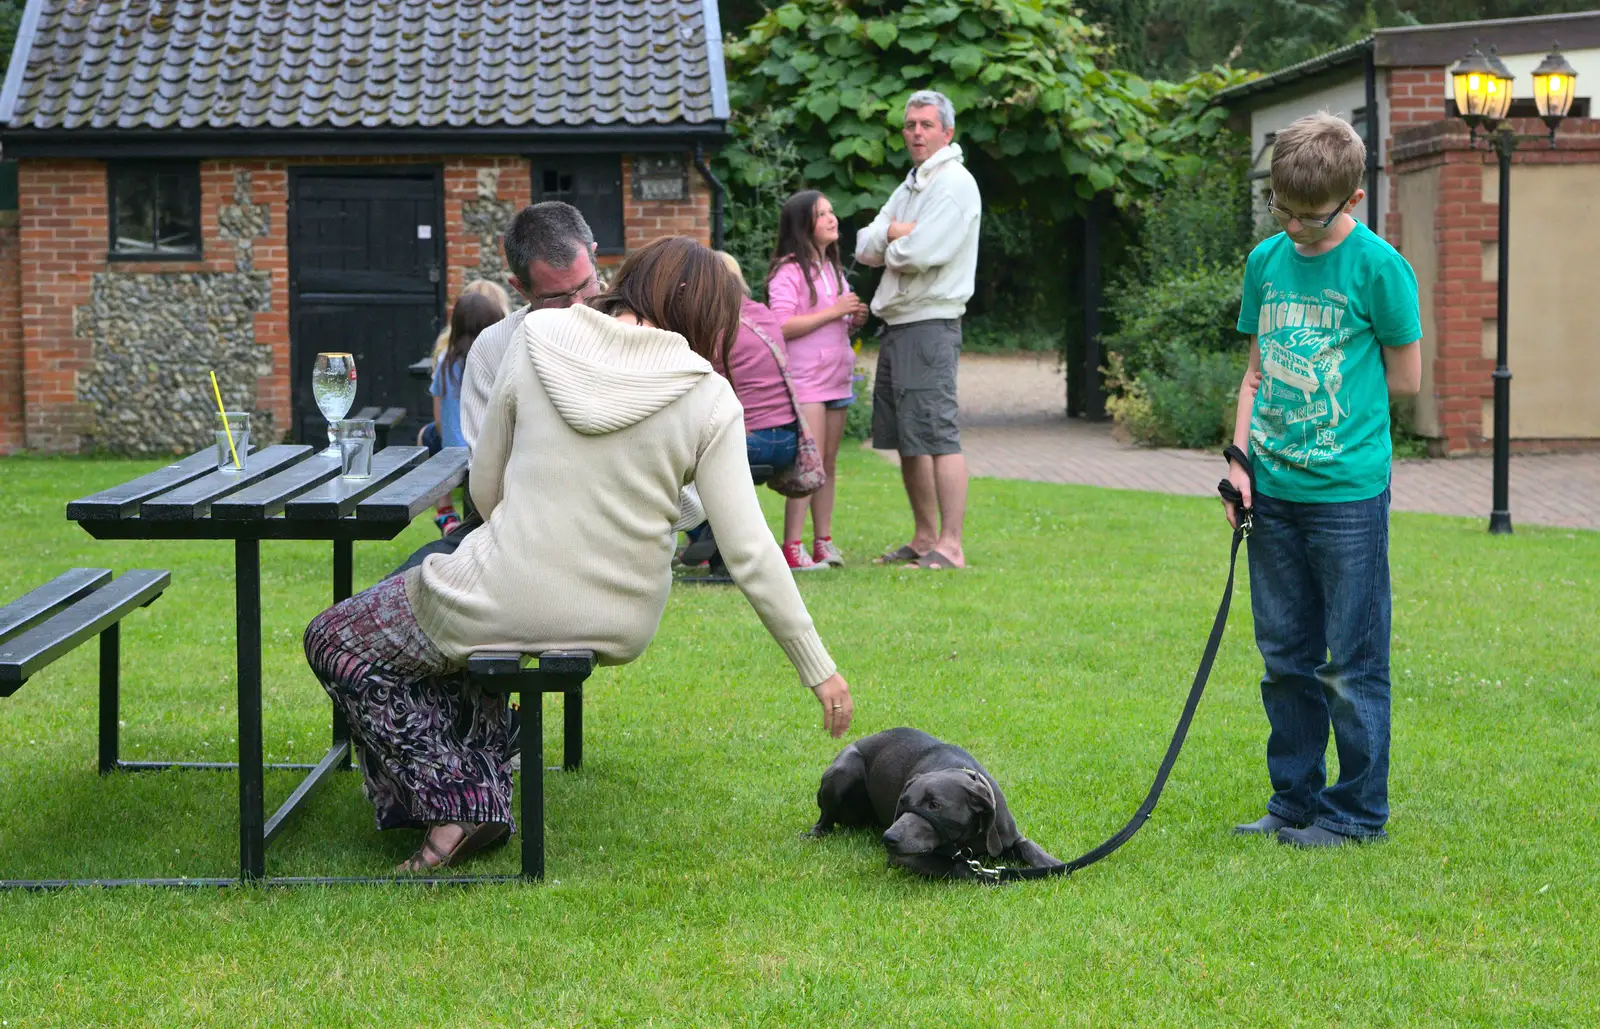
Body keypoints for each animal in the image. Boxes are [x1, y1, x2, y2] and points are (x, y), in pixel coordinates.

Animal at [812, 732, 1062, 876]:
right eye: (903, 803)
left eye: (935, 805)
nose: (889, 838)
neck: (969, 838)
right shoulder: (904, 856)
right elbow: (959, 867)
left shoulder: (1009, 835)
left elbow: (1030, 847)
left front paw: (1052, 863)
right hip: (844, 769)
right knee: (824, 819)